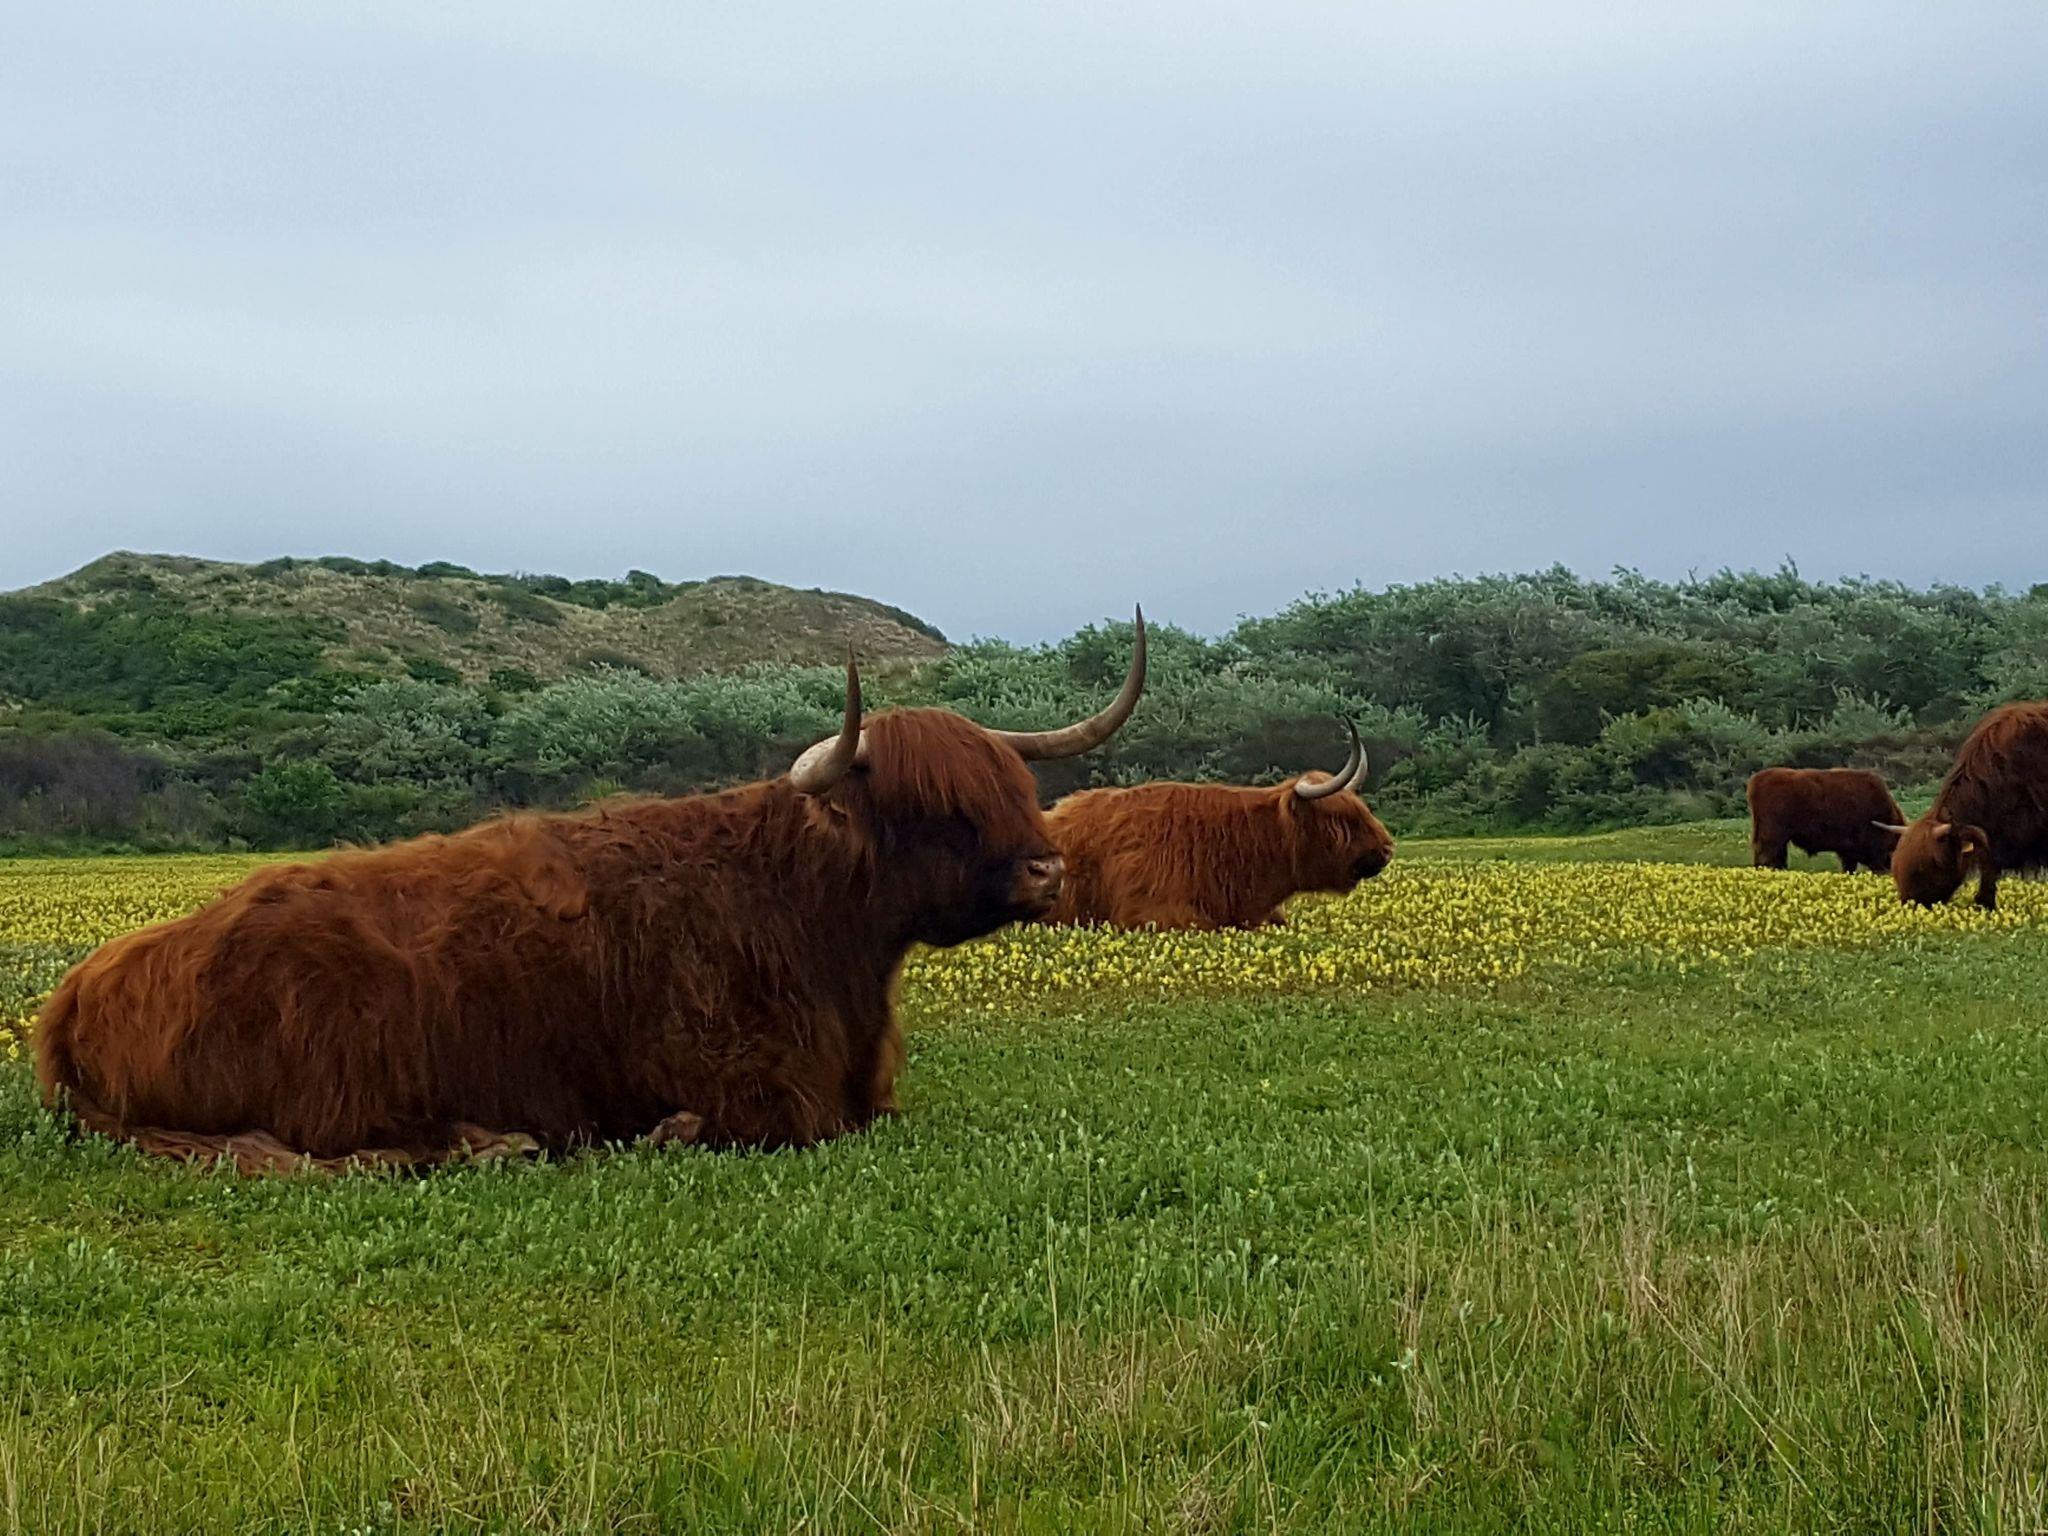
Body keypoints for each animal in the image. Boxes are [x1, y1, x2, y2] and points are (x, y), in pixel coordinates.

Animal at [35, 615, 1148, 1171]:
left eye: (1013, 789)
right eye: (931, 808)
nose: (1048, 869)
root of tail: (74, 996)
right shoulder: (761, 1091)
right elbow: (752, 1123)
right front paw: (662, 1131)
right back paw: (494, 1142)